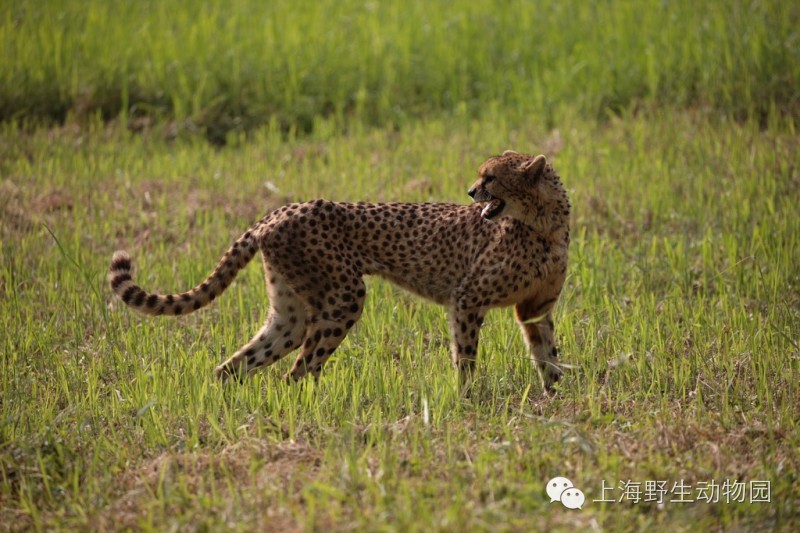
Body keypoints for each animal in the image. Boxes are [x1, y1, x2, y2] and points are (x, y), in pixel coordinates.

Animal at [108, 152, 568, 392]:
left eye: (491, 177)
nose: (471, 192)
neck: (544, 222)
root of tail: (281, 209)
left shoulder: (535, 308)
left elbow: (547, 354)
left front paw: (555, 398)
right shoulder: (467, 298)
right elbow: (467, 355)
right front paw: (469, 397)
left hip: (292, 314)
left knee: (240, 365)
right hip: (344, 297)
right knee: (299, 370)